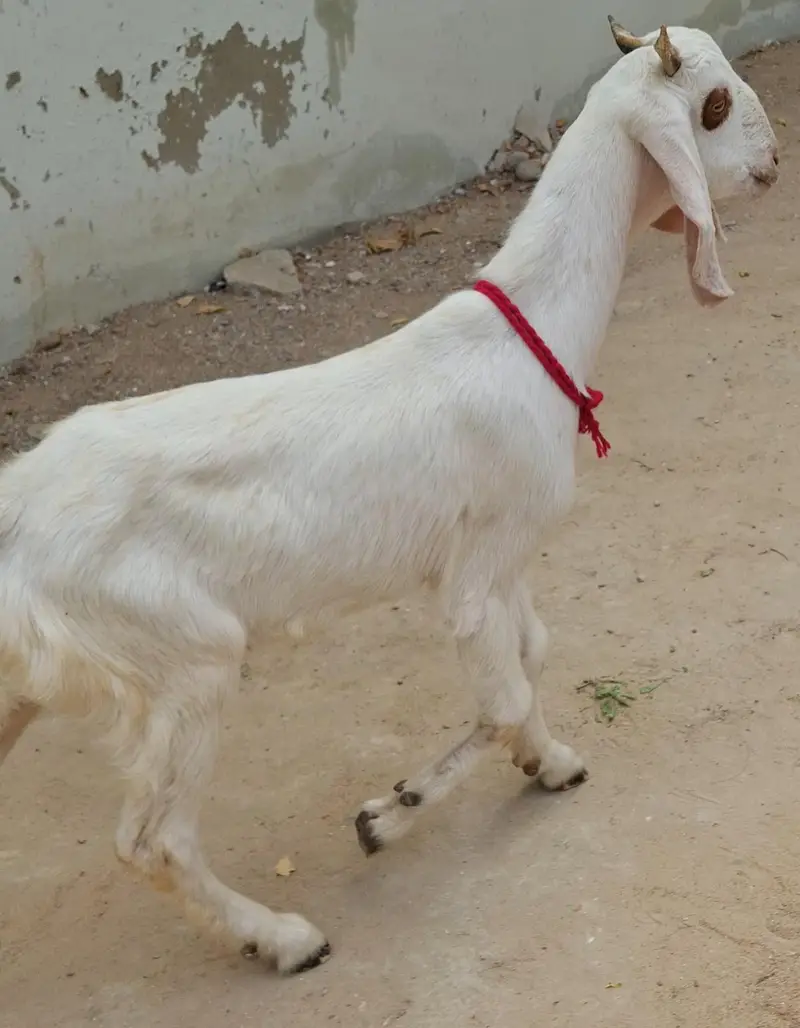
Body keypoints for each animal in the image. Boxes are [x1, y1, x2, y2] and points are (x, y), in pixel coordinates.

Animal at [0, 19, 778, 974]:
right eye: (715, 105)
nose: (774, 160)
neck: (530, 334)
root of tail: (17, 510)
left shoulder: (504, 553)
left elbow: (534, 656)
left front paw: (548, 760)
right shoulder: (475, 576)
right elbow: (502, 690)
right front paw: (388, 814)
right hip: (180, 654)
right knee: (153, 840)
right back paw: (282, 938)